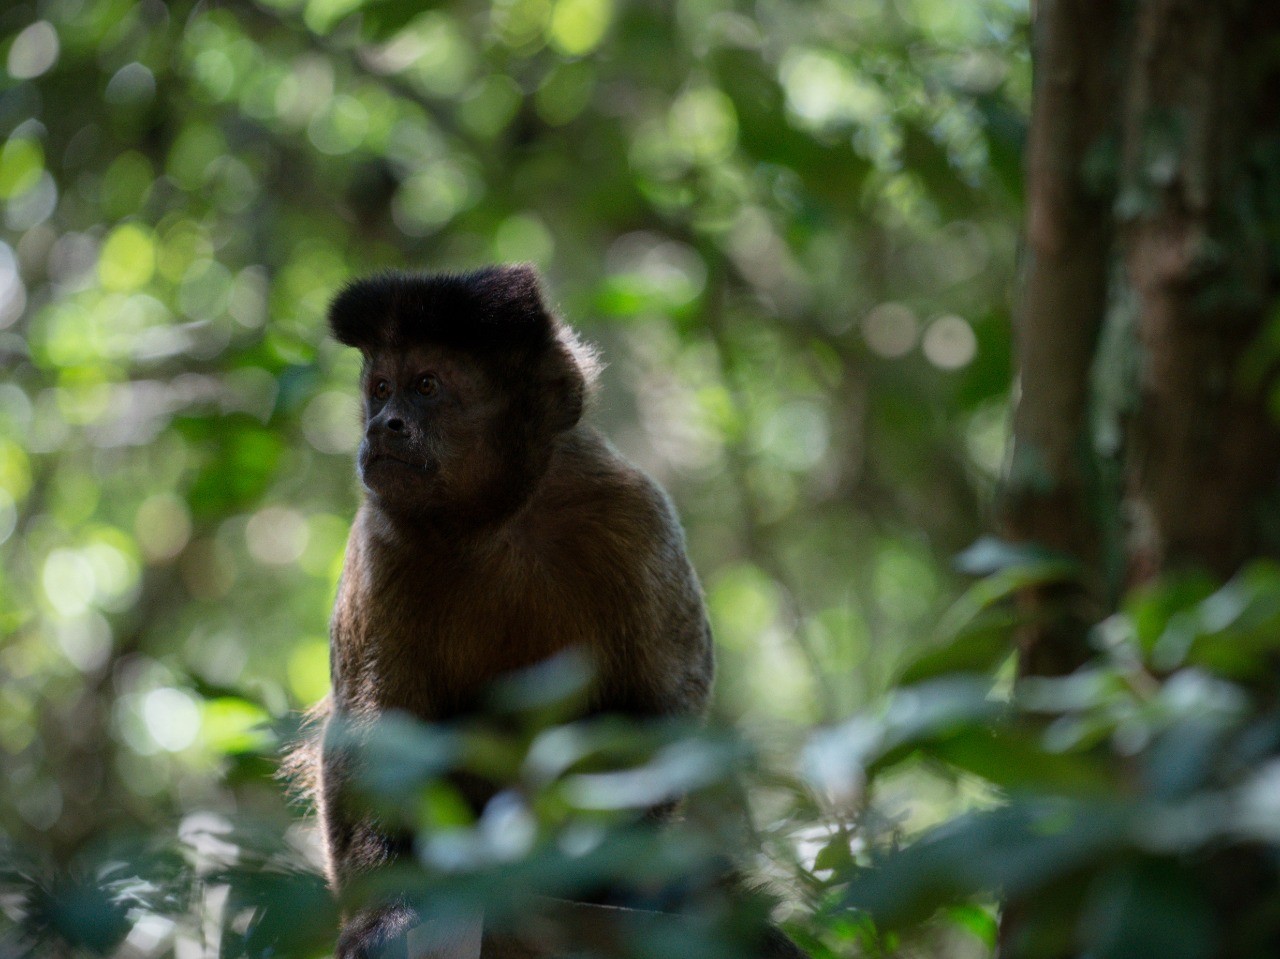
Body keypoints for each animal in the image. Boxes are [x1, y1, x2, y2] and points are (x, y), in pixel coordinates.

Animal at [310, 264, 717, 958]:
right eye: (382, 388)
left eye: (427, 386)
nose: (382, 424)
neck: (495, 524)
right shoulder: (379, 543)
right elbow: (376, 738)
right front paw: (383, 915)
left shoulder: (630, 511)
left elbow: (662, 706)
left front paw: (621, 886)